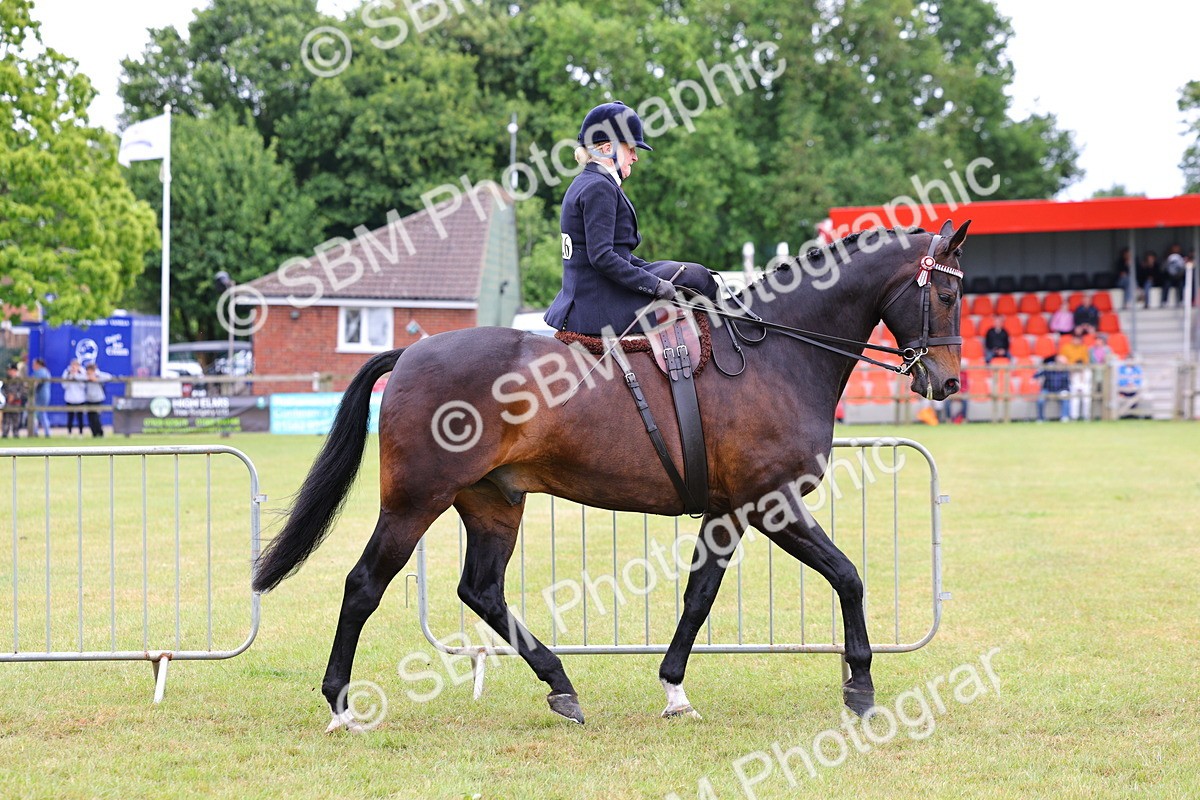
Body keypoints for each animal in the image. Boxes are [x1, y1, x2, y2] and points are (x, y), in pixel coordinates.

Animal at [252, 219, 970, 732]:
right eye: (947, 292)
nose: (947, 384)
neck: (779, 356)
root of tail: (411, 352)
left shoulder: (728, 513)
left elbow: (698, 597)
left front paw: (675, 688)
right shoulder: (773, 504)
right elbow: (847, 575)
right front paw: (861, 686)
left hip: (492, 502)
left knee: (481, 590)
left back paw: (561, 686)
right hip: (413, 501)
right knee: (364, 586)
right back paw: (341, 704)